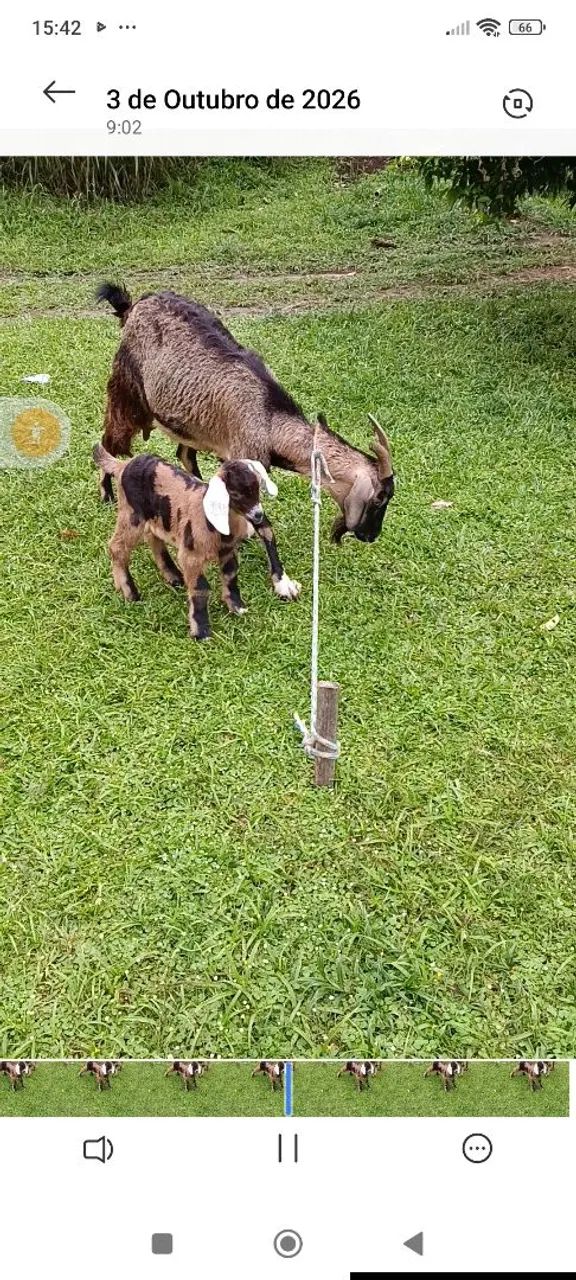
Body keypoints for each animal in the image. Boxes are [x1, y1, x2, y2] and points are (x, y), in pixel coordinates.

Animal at [94, 446, 299, 637]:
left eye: (258, 488)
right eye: (235, 494)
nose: (258, 516)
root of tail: (123, 465)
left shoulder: (228, 551)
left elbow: (231, 576)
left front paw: (237, 607)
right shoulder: (191, 556)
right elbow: (200, 588)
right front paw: (201, 632)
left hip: (156, 517)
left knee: (152, 536)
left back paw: (173, 576)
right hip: (131, 514)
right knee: (117, 548)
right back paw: (130, 593)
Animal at [96, 285, 394, 552]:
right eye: (380, 497)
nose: (371, 536)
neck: (269, 415)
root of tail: (133, 306)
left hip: (189, 423)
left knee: (185, 454)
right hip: (126, 395)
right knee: (109, 441)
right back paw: (107, 493)